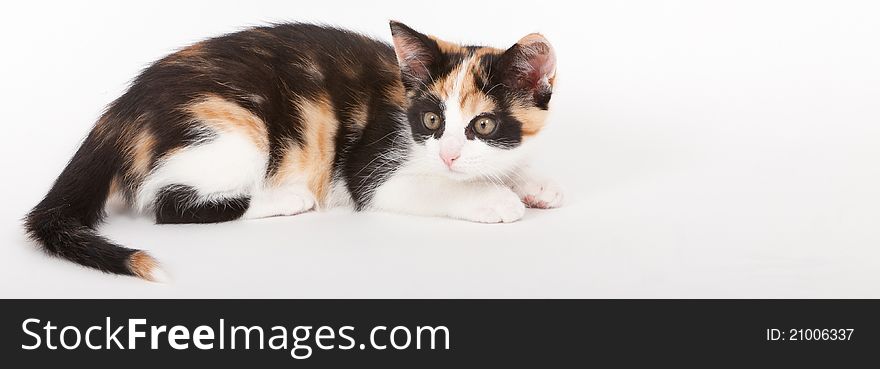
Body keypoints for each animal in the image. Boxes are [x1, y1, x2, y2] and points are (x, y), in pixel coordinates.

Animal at [27, 20, 568, 280]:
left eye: (483, 124)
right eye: (432, 120)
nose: (449, 155)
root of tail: (121, 112)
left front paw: (533, 183)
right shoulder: (372, 165)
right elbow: (427, 188)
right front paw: (491, 198)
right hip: (234, 126)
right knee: (171, 205)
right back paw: (288, 198)